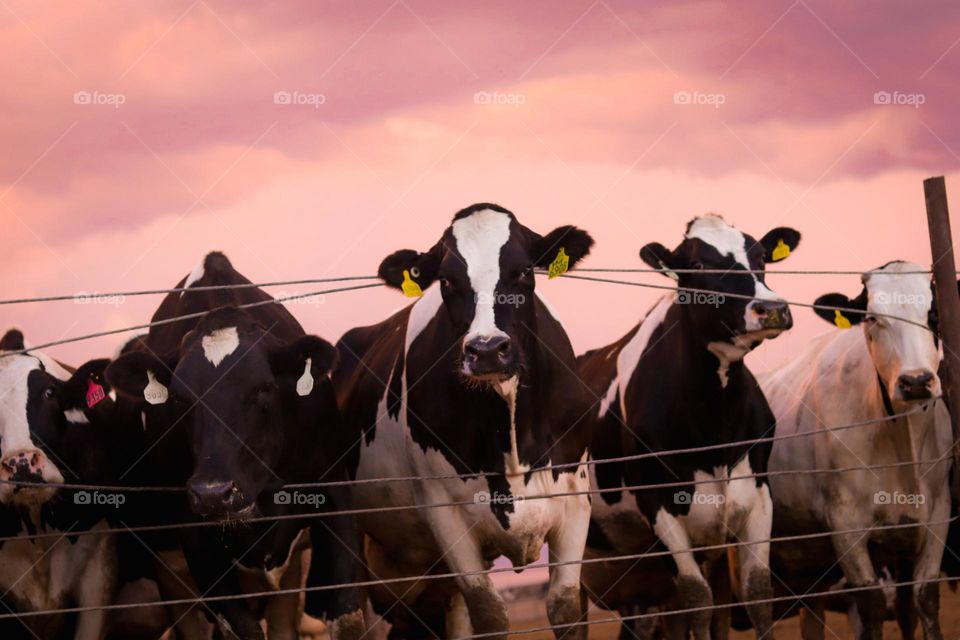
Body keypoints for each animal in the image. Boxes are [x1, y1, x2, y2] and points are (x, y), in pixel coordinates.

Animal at [107, 251, 366, 640]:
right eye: (179, 398)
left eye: (264, 387)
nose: (214, 492)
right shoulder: (193, 531)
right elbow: (241, 627)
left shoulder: (334, 488)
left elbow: (348, 617)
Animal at [333, 203, 596, 640]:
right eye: (446, 280)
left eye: (525, 270)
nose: (487, 350)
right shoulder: (445, 513)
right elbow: (488, 612)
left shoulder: (575, 498)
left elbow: (566, 609)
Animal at [578, 214, 801, 640]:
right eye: (697, 265)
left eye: (761, 257)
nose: (771, 308)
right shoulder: (657, 503)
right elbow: (697, 599)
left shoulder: (758, 492)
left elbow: (757, 594)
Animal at [761, 261, 952, 640]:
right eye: (873, 318)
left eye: (933, 313)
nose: (916, 382)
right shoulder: (845, 522)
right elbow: (872, 604)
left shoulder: (938, 514)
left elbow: (924, 599)